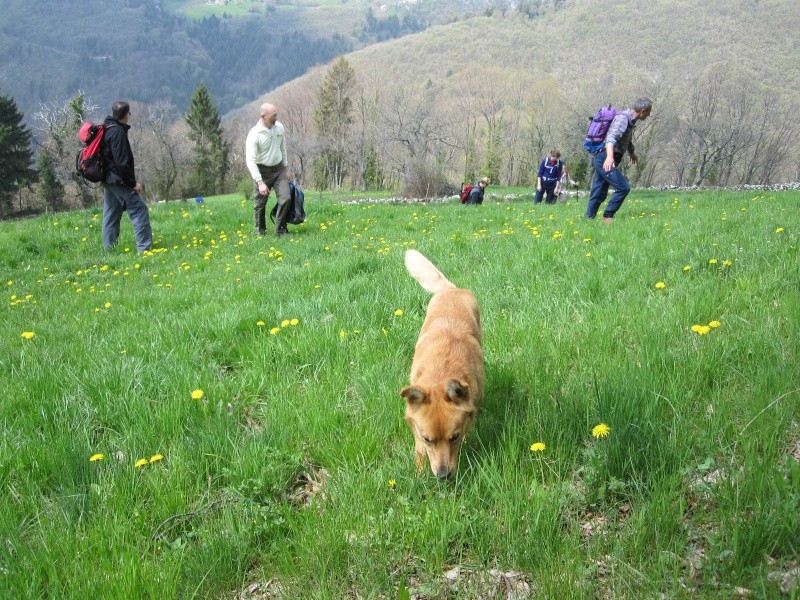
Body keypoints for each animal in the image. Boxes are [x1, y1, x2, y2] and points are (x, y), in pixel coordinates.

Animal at [404, 248, 484, 478]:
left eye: (454, 437)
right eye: (428, 439)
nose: (443, 476)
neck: (442, 370)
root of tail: (451, 290)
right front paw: (419, 469)